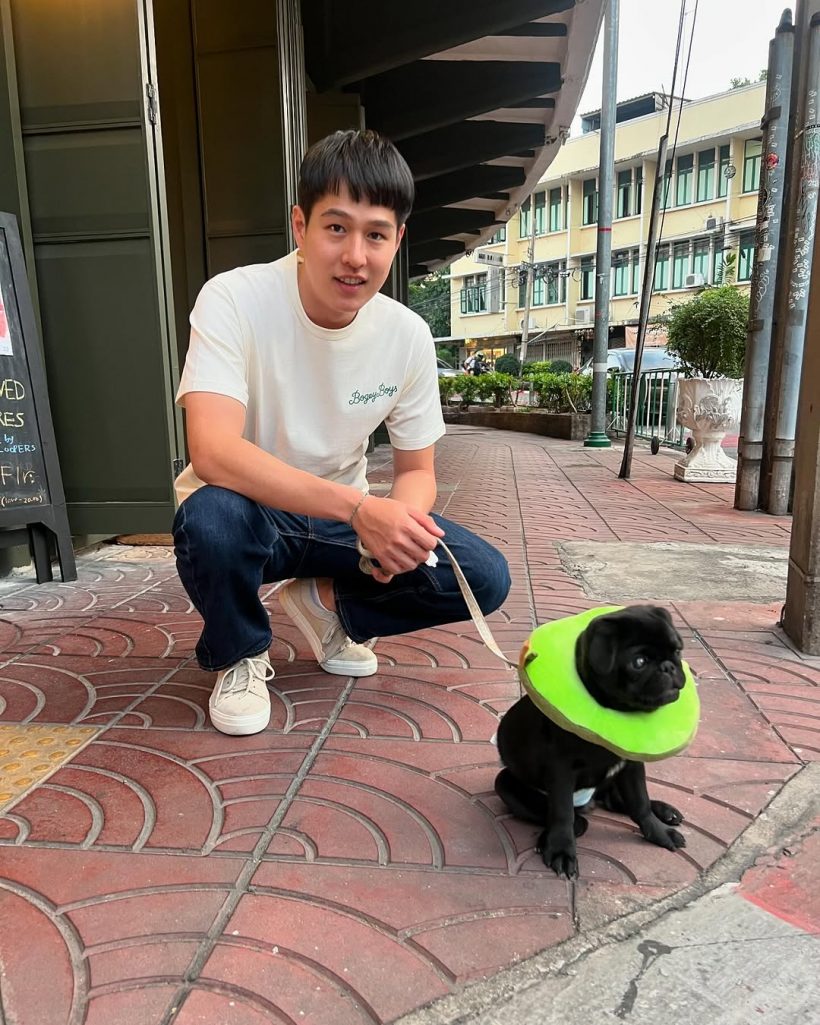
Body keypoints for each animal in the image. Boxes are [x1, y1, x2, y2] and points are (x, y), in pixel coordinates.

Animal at [494, 605, 688, 879]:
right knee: (575, 818)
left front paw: (659, 833)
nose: (669, 667)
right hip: (506, 783)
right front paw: (561, 850)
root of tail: (592, 802)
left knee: (620, 803)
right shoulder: (561, 771)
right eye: (638, 662)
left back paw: (664, 811)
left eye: (678, 651)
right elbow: (562, 812)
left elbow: (640, 803)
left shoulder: (631, 765)